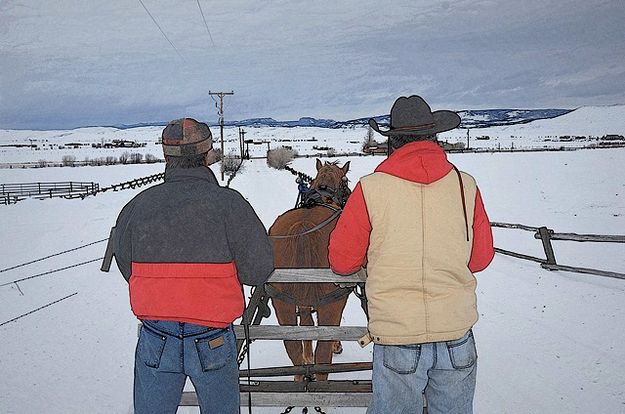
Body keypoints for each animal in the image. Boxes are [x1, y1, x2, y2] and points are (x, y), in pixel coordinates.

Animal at [268, 158, 354, 382]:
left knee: (292, 347)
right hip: (331, 301)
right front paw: (337, 346)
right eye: (346, 180)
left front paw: (308, 358)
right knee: (323, 352)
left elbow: (306, 326)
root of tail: (303, 226)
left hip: (282, 302)